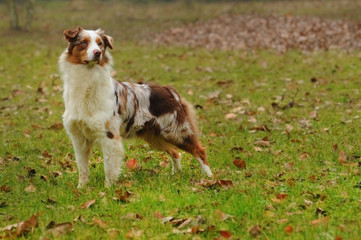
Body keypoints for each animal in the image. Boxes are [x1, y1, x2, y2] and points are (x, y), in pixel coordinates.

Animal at [57, 26, 212, 188]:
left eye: (100, 44)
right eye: (83, 43)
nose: (97, 53)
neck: (87, 80)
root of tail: (169, 90)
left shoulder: (109, 135)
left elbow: (108, 167)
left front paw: (107, 189)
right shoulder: (78, 137)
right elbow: (82, 167)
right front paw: (81, 188)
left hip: (175, 131)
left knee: (199, 150)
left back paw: (208, 177)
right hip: (155, 137)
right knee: (176, 153)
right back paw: (175, 175)